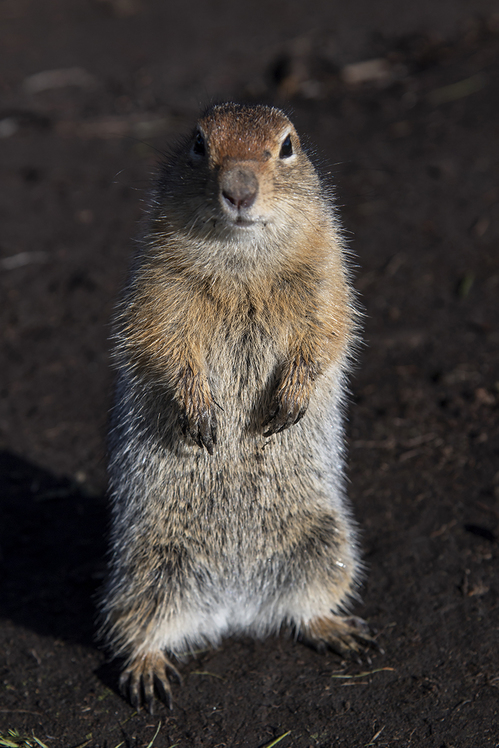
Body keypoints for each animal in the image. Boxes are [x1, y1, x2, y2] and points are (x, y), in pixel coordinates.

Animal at [99, 102, 376, 712]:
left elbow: (329, 325)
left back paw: (337, 629)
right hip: (147, 565)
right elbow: (159, 338)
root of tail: (236, 610)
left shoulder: (327, 264)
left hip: (328, 543)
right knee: (138, 624)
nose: (239, 190)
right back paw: (147, 668)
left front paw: (289, 401)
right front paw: (200, 414)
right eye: (199, 144)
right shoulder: (158, 280)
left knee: (305, 605)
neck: (242, 256)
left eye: (288, 145)